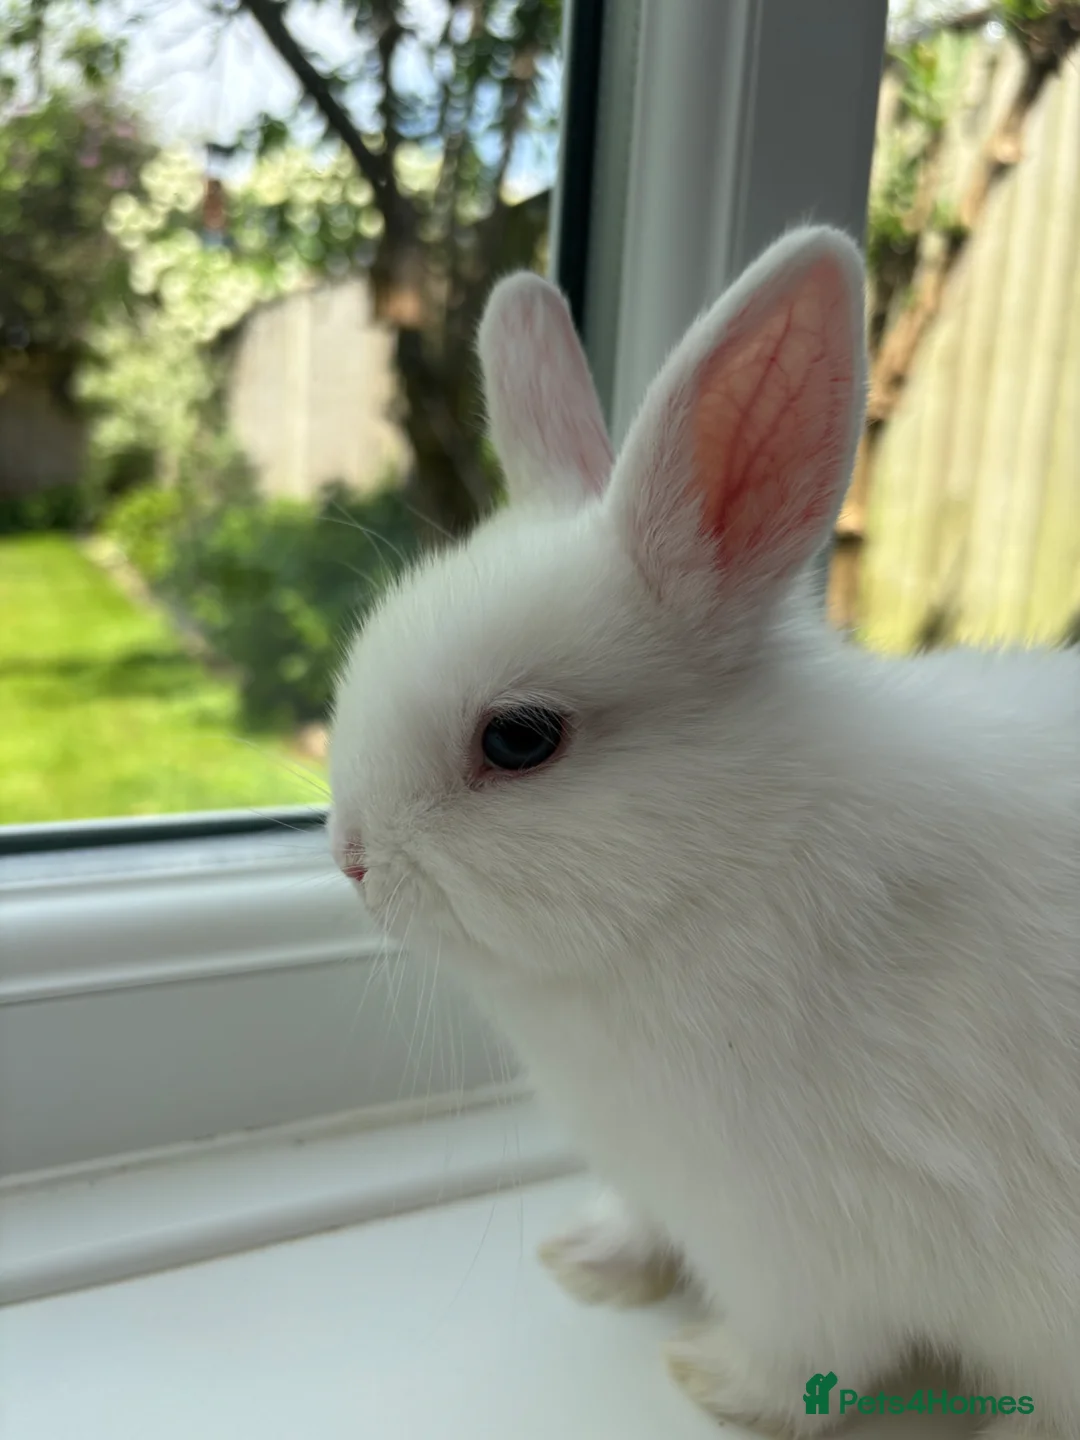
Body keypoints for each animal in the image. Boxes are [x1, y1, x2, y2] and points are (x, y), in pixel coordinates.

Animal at [328, 225, 1080, 1438]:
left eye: (519, 739)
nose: (349, 858)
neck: (728, 863)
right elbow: (640, 1224)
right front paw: (588, 1261)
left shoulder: (813, 1248)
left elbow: (810, 1352)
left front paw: (710, 1380)